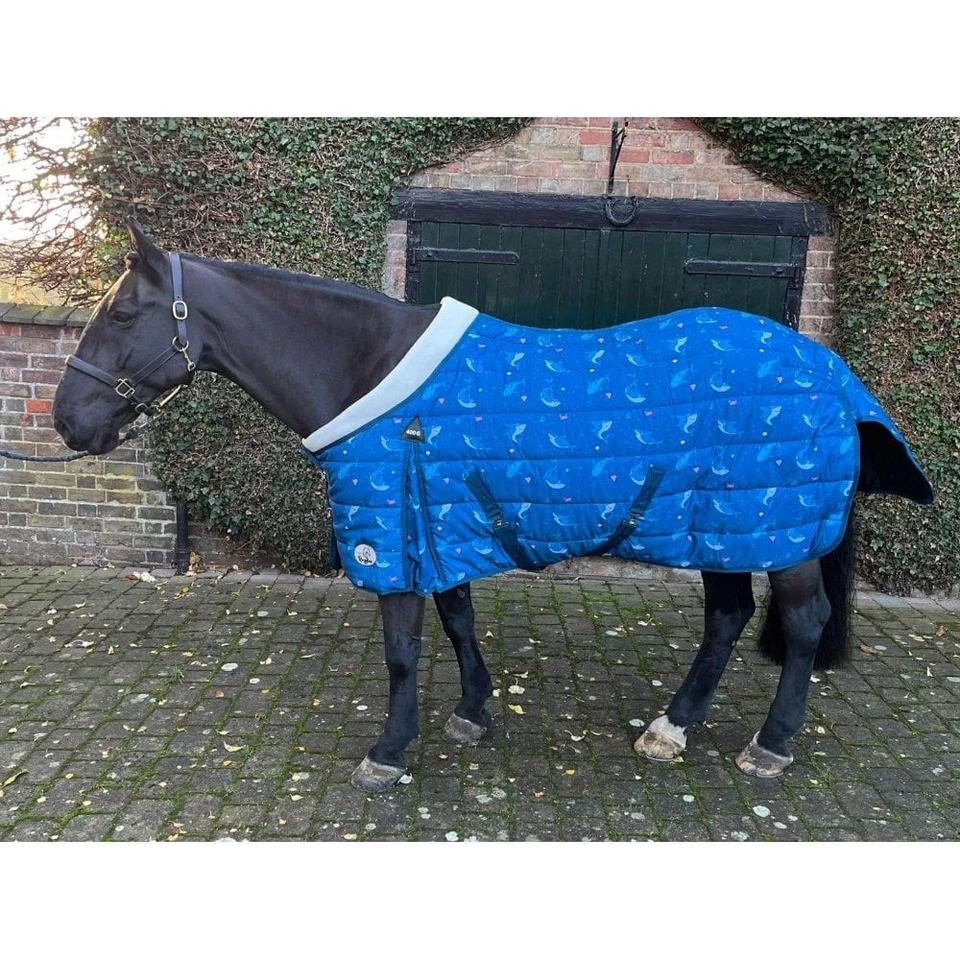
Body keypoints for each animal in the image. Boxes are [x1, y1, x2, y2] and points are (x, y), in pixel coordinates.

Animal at [52, 220, 934, 793]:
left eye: (122, 313)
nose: (67, 421)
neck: (374, 374)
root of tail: (830, 371)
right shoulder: (439, 525)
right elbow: (458, 621)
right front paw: (473, 713)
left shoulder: (394, 537)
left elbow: (404, 650)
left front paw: (389, 751)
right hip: (715, 528)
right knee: (726, 619)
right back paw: (669, 730)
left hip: (774, 534)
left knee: (804, 624)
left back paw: (770, 746)